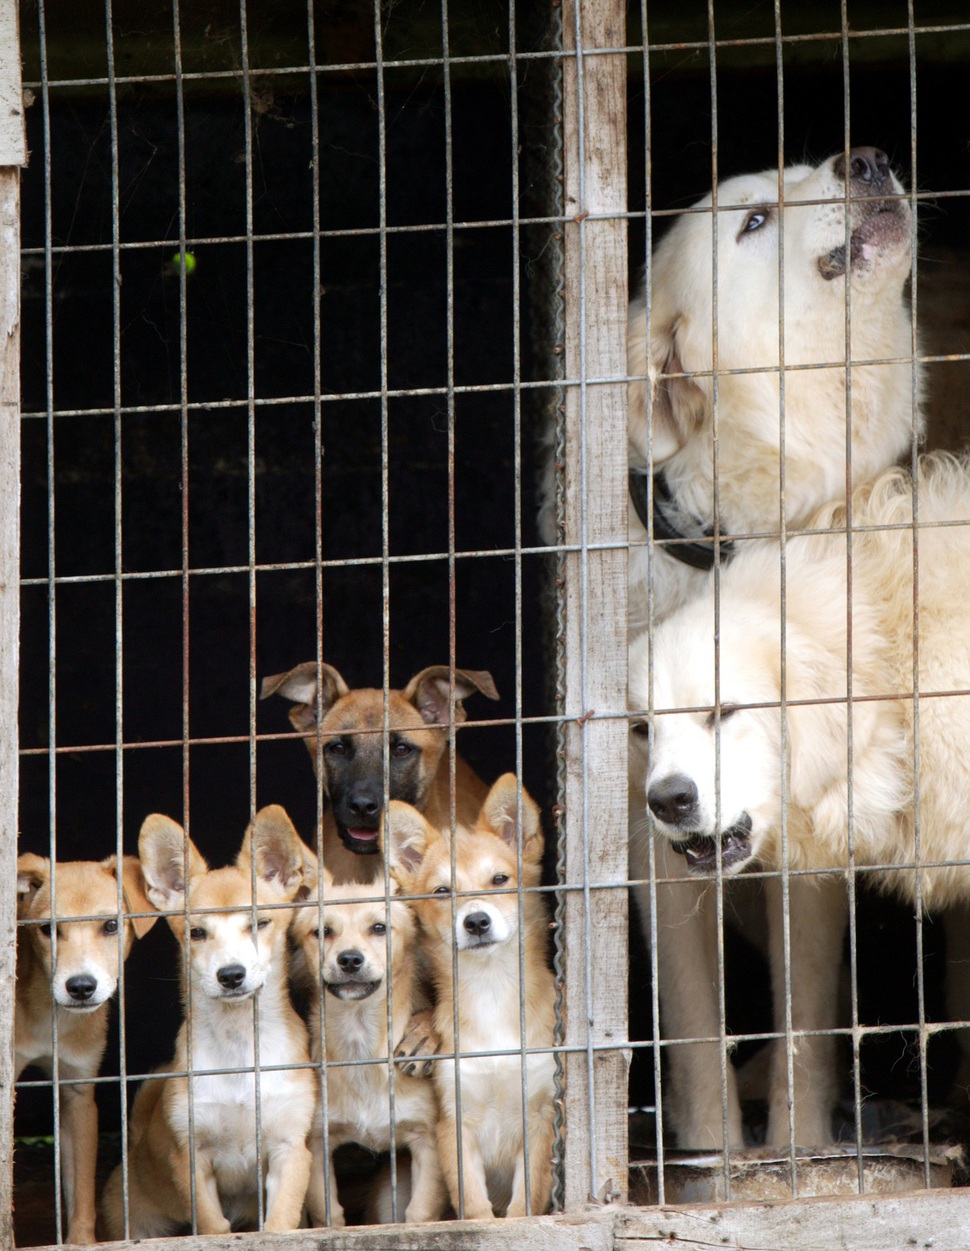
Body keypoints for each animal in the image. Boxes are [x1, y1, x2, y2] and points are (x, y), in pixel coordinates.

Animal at [16, 850, 156, 1240]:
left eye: (110, 926)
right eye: (48, 930)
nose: (80, 987)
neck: (46, 1012)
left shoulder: (77, 1092)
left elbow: (80, 1195)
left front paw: (79, 1241)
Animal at [98, 805, 312, 1235]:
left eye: (259, 924)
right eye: (196, 933)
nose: (230, 975)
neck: (239, 1046)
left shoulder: (290, 1150)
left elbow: (281, 1221)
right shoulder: (191, 1160)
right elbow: (214, 1226)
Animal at [294, 845, 450, 1225]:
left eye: (379, 928)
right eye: (322, 932)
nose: (350, 959)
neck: (360, 1035)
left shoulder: (428, 1143)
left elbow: (418, 1214)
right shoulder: (318, 1144)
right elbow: (329, 1215)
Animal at [385, 775, 553, 1215]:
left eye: (500, 880)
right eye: (442, 891)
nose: (476, 921)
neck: (490, 991)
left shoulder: (541, 1116)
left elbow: (524, 1205)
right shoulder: (454, 1123)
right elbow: (476, 1207)